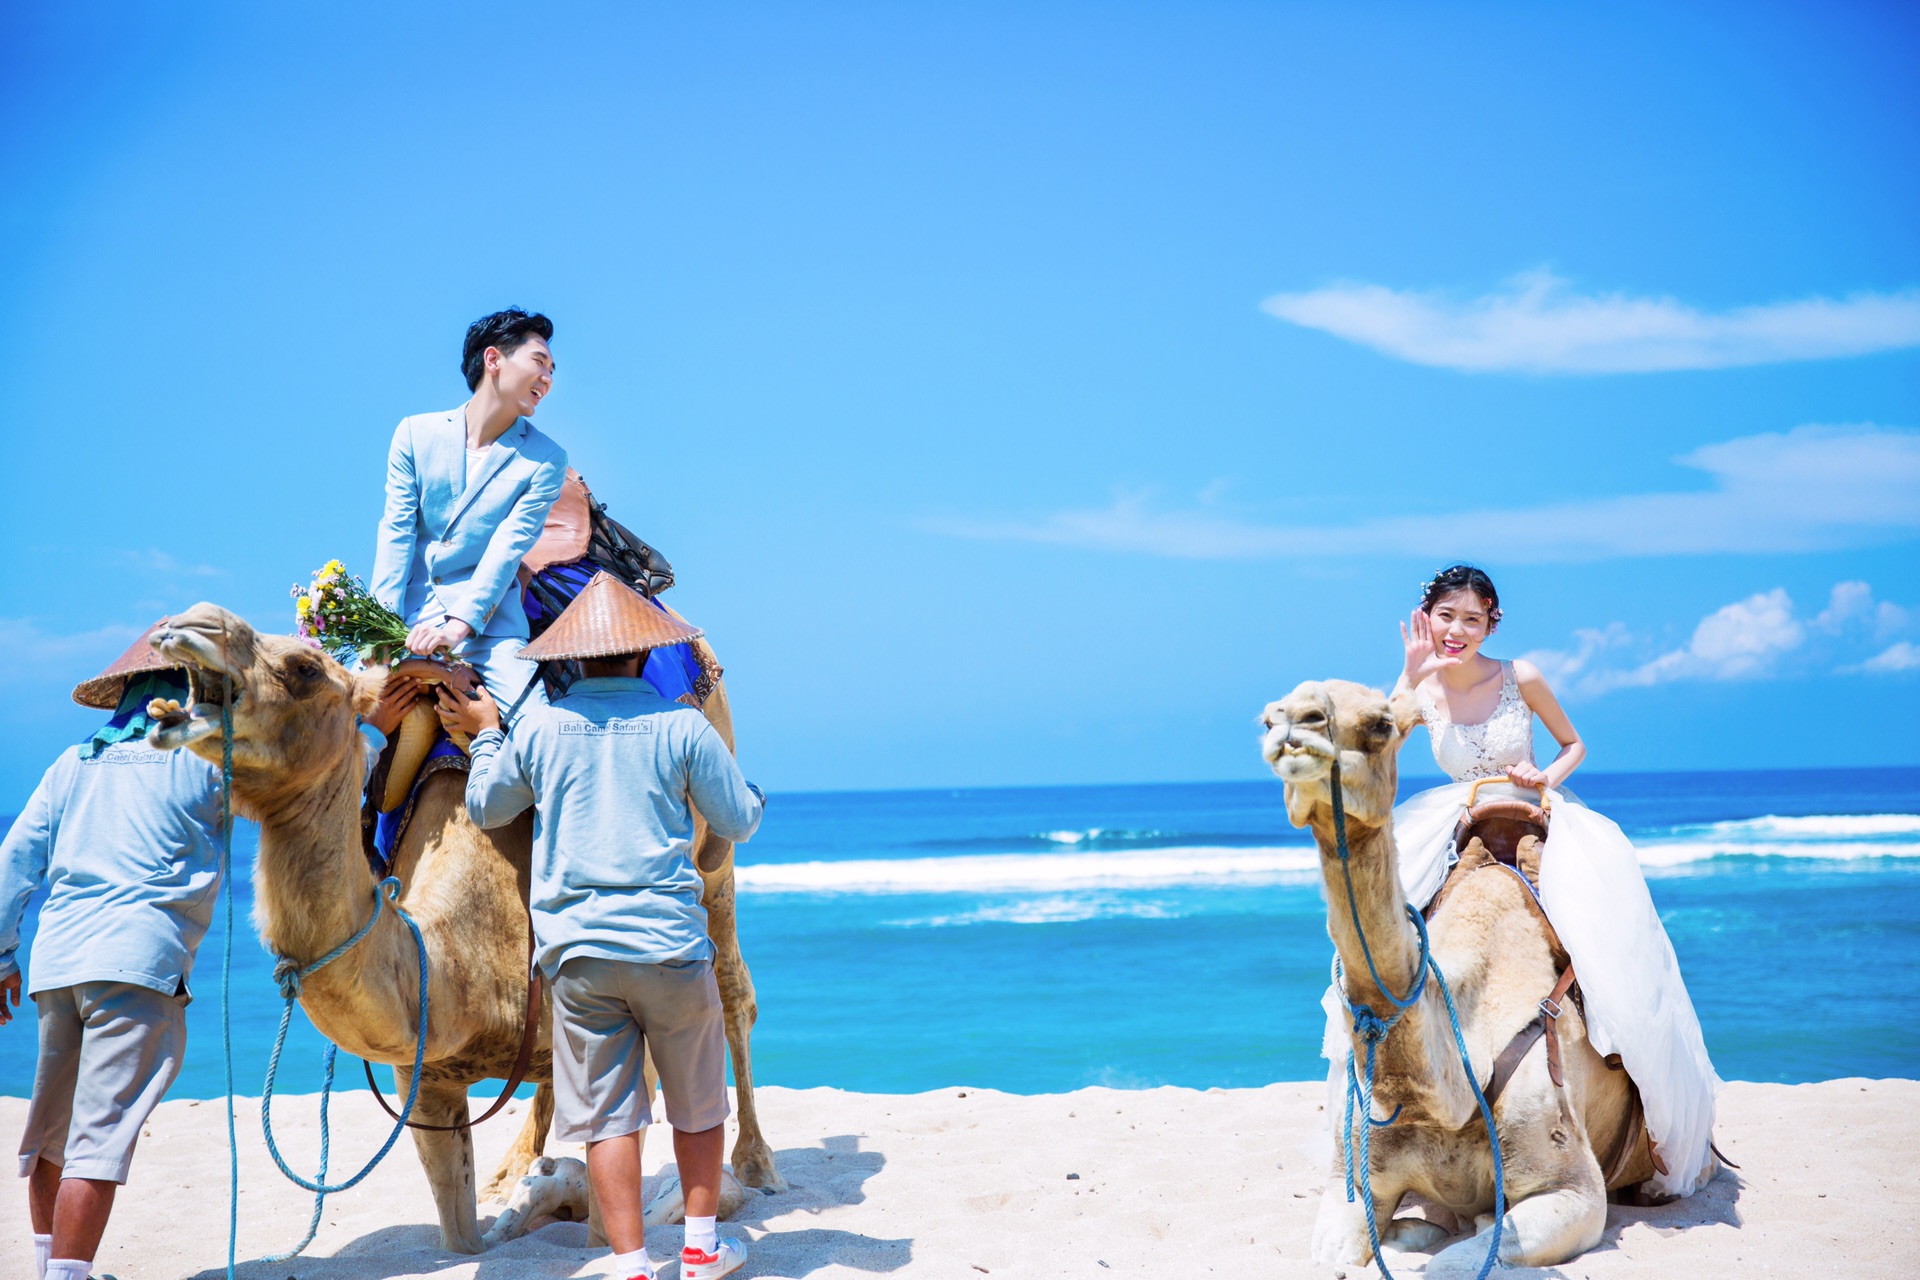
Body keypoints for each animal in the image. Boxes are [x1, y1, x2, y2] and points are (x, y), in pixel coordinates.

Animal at [142, 606, 787, 1258]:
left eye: (305, 667)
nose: (191, 624)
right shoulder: (423, 1078)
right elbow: (462, 1234)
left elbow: (610, 1220)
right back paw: (516, 1168)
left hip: (716, 852)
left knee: (731, 985)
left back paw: (757, 1164)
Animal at [1259, 679, 1666, 1274]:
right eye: (1268, 720)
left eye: (1381, 723)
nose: (1295, 725)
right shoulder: (1351, 1184)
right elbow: (1335, 1258)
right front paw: (1409, 1234)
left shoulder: (1575, 1192)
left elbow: (1458, 1262)